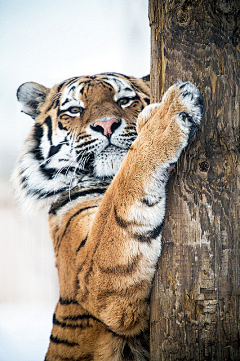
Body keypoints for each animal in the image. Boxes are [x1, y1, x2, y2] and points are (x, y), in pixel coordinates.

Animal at [12, 71, 203, 358]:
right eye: (75, 110)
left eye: (124, 100)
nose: (107, 125)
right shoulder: (94, 274)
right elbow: (125, 183)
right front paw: (168, 113)